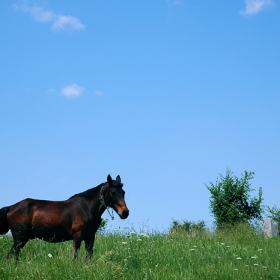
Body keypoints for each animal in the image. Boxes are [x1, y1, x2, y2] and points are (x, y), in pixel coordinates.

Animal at [0, 174, 129, 260]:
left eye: (123, 192)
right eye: (113, 191)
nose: (125, 212)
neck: (87, 208)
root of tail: (11, 207)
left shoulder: (90, 237)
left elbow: (89, 256)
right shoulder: (77, 237)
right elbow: (75, 257)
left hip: (23, 239)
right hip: (19, 238)